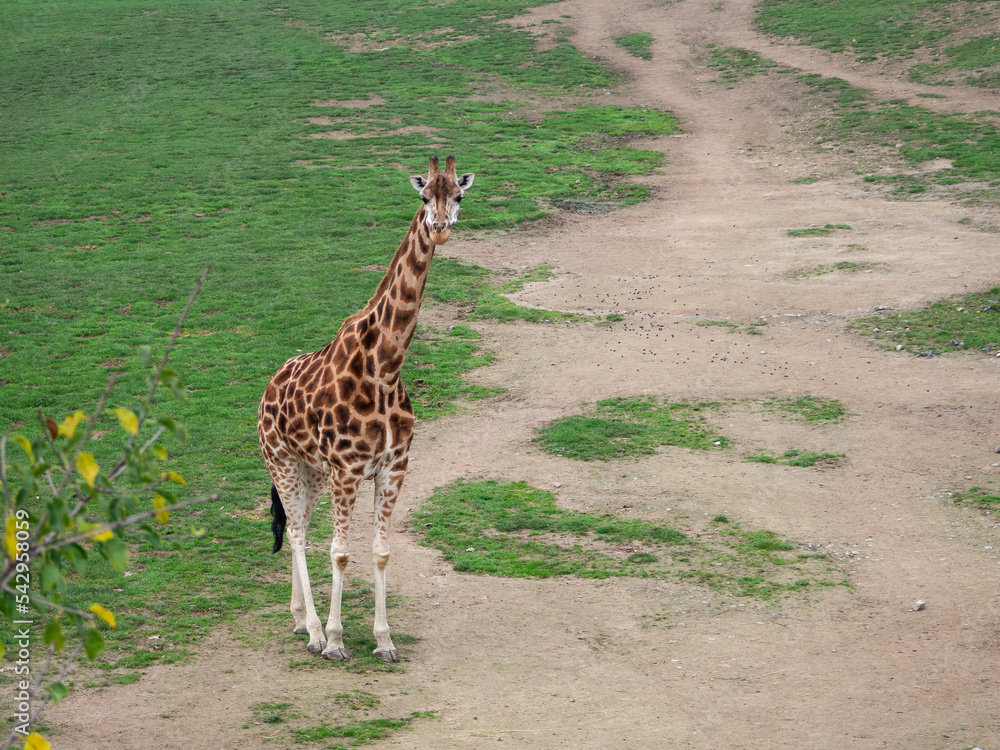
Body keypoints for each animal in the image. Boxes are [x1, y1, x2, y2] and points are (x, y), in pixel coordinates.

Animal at [257, 155, 474, 662]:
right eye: (423, 195)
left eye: (458, 195)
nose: (439, 229)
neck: (385, 369)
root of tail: (268, 388)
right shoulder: (348, 470)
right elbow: (340, 552)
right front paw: (337, 640)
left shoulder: (393, 468)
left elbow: (380, 550)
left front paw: (384, 640)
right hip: (281, 460)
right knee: (297, 533)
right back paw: (315, 632)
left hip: (311, 470)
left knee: (299, 525)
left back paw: (298, 619)